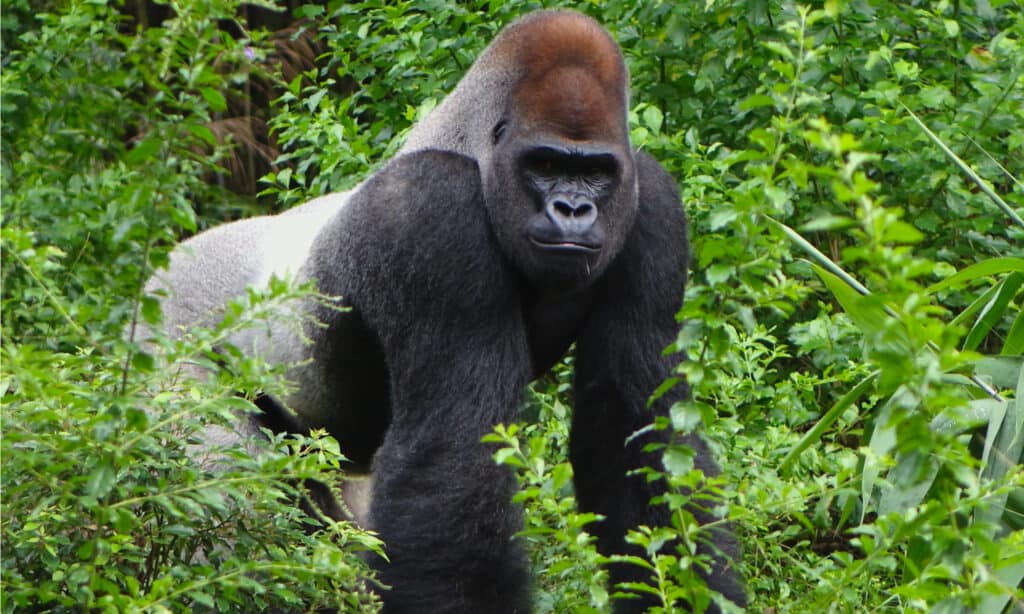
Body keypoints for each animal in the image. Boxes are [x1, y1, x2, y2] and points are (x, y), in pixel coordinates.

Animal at [144, 9, 745, 614]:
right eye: (544, 164)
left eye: (596, 171)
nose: (574, 209)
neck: (471, 150)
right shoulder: (432, 209)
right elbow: (455, 457)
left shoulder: (654, 205)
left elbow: (640, 430)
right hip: (168, 335)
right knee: (220, 500)